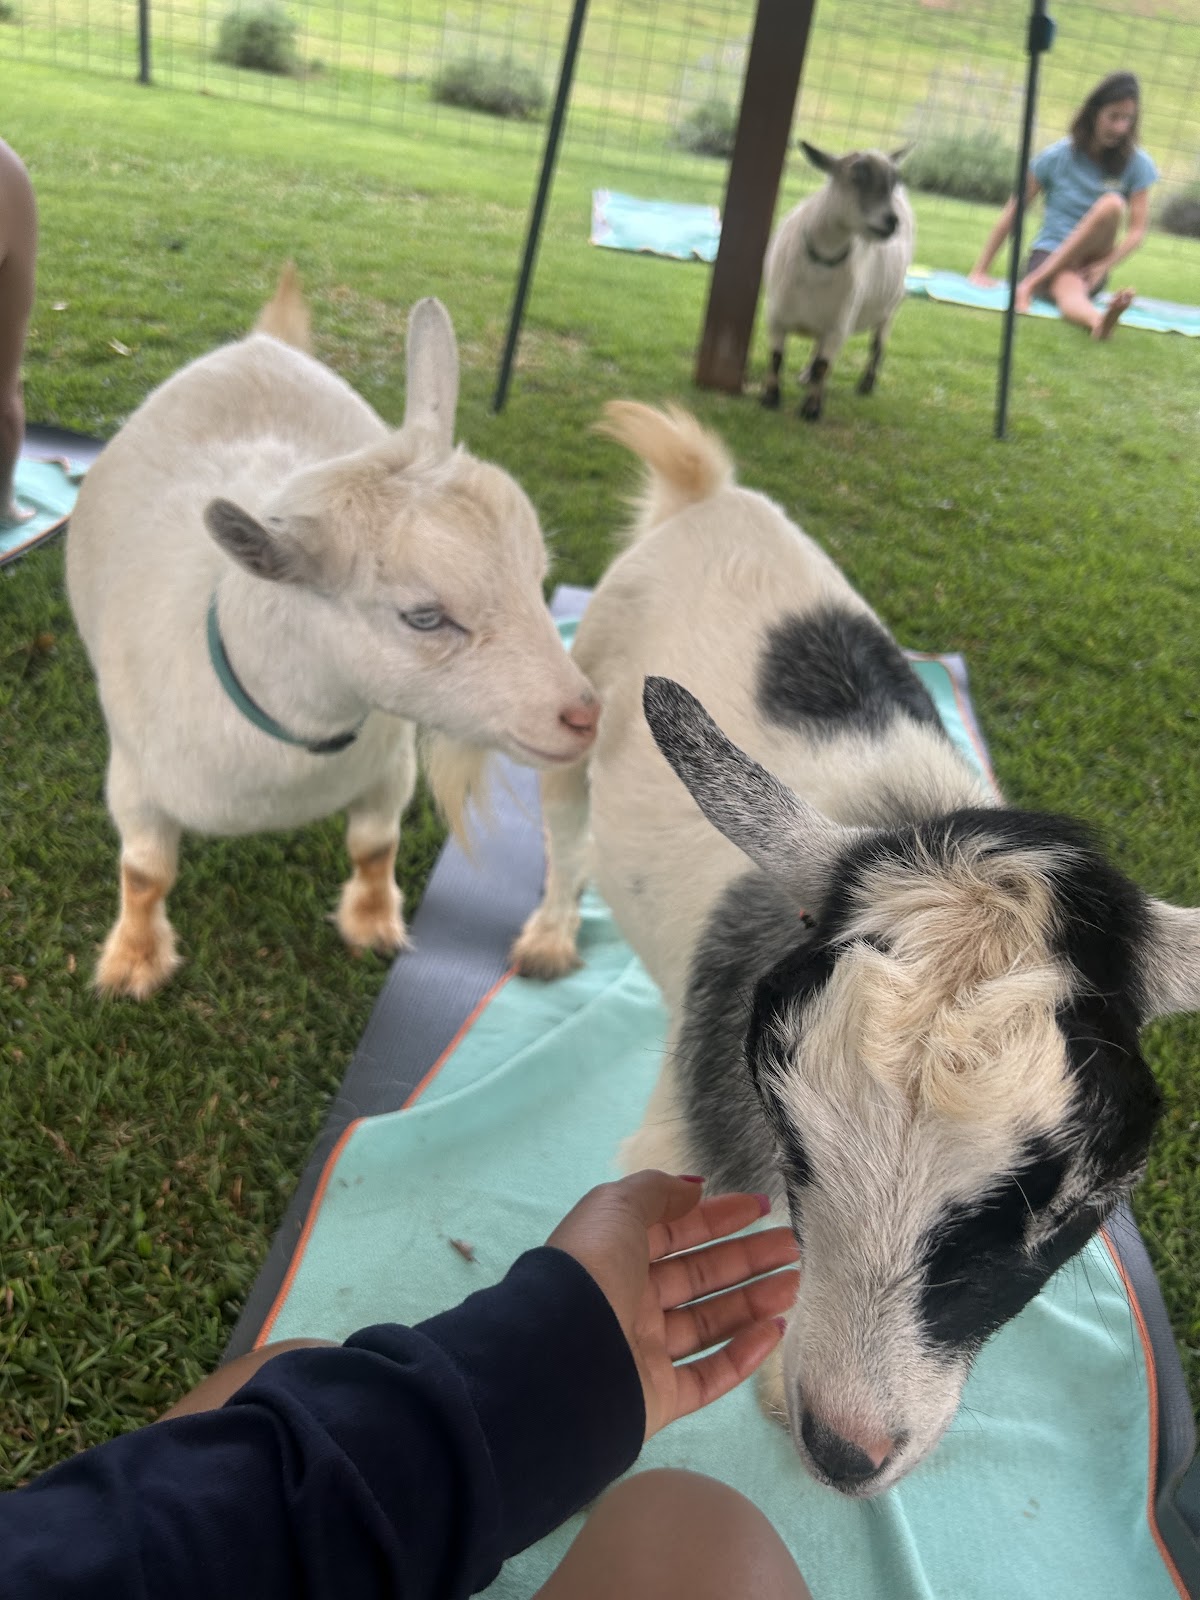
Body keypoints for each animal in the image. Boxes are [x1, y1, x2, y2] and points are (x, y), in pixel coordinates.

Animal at [66, 267, 598, 999]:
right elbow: (146, 873)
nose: (585, 716)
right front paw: (133, 963)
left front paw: (372, 926)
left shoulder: (390, 766)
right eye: (423, 616)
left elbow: (374, 846)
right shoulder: (135, 782)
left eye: (537, 574)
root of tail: (263, 346)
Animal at [511, 402, 1200, 1496]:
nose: (842, 1452)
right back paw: (545, 933)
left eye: (1060, 1211)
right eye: (794, 1144)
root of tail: (704, 488)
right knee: (562, 817)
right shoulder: (696, 1132)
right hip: (575, 706)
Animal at [762, 141, 914, 420]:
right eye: (856, 176)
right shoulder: (776, 316)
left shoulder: (838, 326)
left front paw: (811, 410)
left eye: (894, 179)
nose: (891, 221)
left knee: (877, 347)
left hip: (889, 308)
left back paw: (866, 384)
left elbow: (823, 367)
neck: (819, 267)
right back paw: (805, 375)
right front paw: (770, 397)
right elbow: (777, 357)